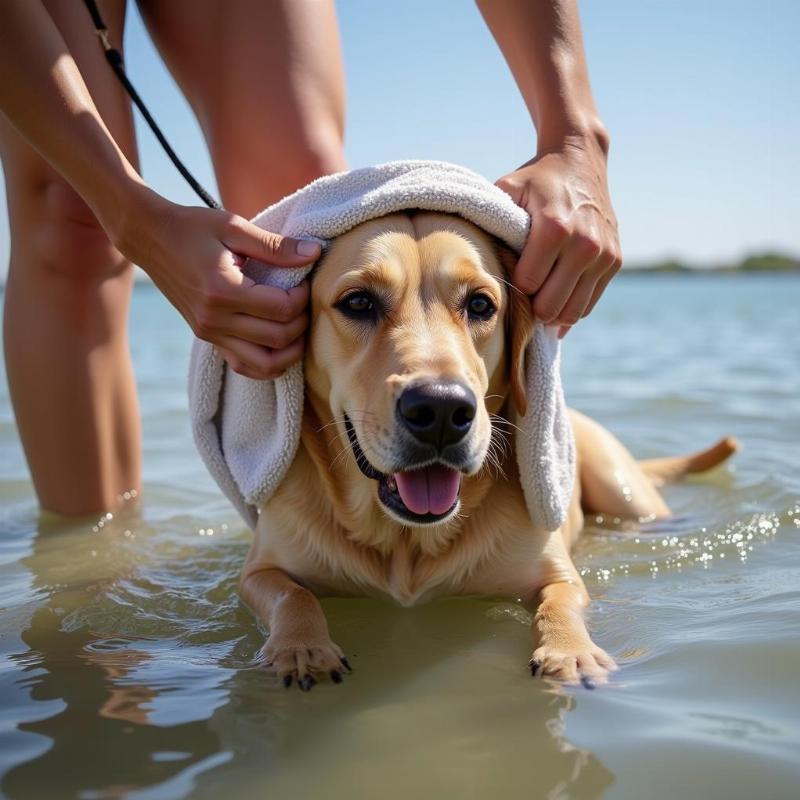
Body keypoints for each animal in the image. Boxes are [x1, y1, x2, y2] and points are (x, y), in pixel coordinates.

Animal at [238, 209, 736, 692]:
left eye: (480, 304)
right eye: (358, 302)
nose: (441, 408)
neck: (406, 543)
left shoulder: (557, 571)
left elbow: (562, 600)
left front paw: (571, 651)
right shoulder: (260, 571)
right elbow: (291, 594)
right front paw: (301, 647)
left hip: (622, 489)